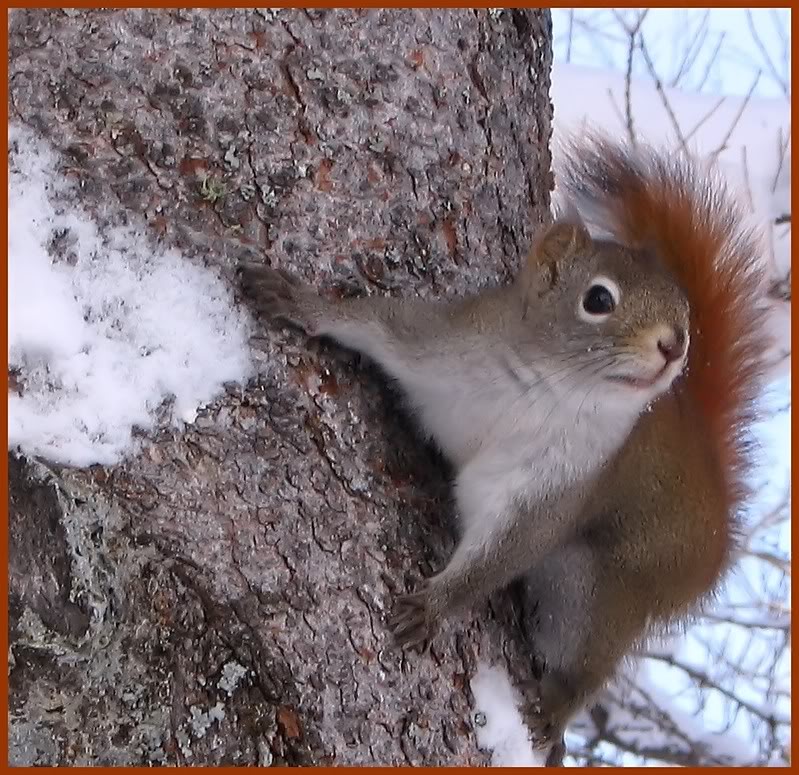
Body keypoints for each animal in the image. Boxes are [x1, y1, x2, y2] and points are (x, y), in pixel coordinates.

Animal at [239, 135, 768, 764]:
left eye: (683, 307)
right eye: (598, 299)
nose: (675, 344)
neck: (554, 387)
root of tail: (717, 527)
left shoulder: (558, 482)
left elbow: (503, 550)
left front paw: (435, 606)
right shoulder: (438, 342)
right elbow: (372, 322)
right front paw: (298, 301)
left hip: (601, 585)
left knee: (590, 658)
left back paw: (556, 712)